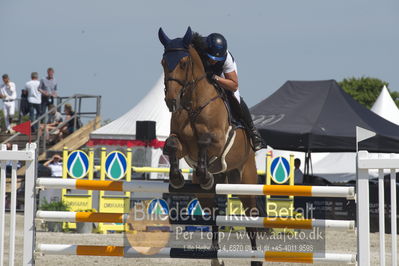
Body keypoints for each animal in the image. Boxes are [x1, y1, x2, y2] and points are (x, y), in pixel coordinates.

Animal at [159, 26, 266, 266]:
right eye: (163, 62)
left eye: (184, 62)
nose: (171, 101)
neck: (192, 103)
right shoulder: (182, 144)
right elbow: (172, 144)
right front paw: (176, 177)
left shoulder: (217, 141)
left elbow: (204, 140)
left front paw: (200, 171)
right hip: (206, 194)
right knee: (214, 216)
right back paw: (215, 255)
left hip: (246, 183)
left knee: (252, 221)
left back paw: (255, 258)